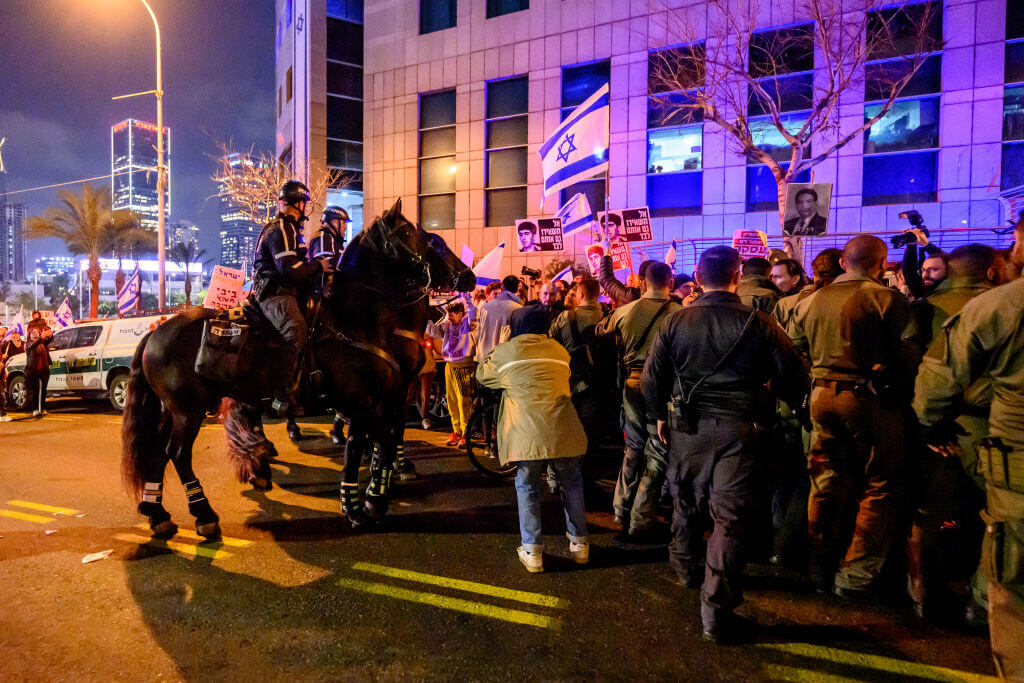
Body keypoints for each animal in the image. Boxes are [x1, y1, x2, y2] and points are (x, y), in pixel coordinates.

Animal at [121, 198, 473, 540]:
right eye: (412, 234)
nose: (467, 277)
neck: (358, 319)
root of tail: (156, 331)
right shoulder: (361, 400)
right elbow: (377, 439)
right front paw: (366, 501)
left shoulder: (384, 395)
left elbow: (376, 438)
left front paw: (369, 494)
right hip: (188, 410)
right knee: (179, 453)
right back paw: (205, 513)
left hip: (177, 409)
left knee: (159, 451)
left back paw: (159, 513)